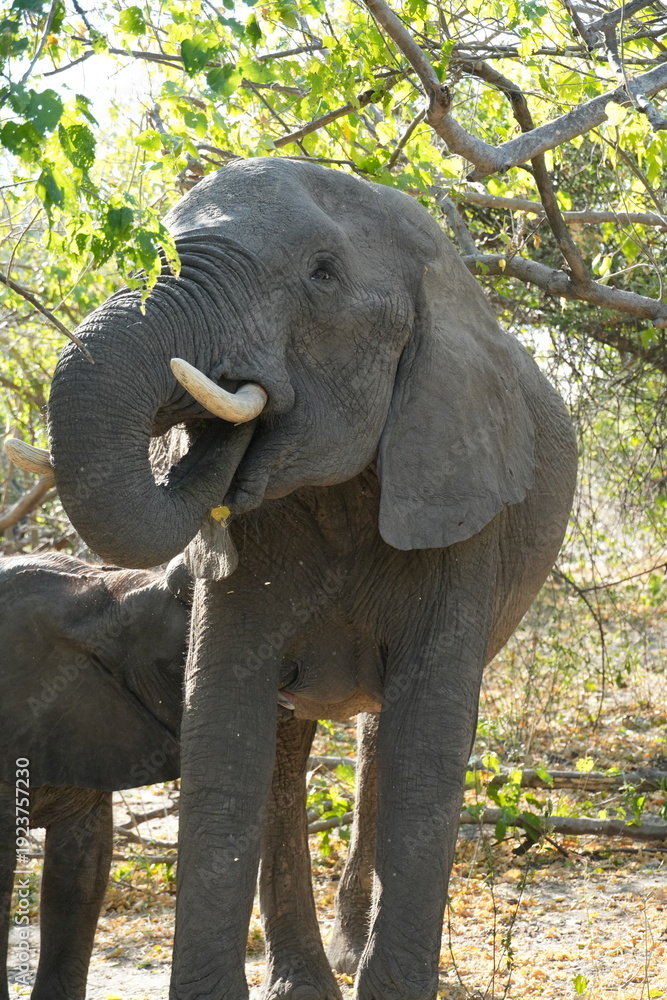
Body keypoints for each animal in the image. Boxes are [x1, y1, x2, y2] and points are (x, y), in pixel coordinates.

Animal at [42, 157, 578, 1000]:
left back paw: (348, 957)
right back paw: (304, 980)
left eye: (321, 276)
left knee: (381, 739)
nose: (222, 427)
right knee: (287, 748)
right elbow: (224, 724)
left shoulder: (463, 507)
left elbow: (426, 747)